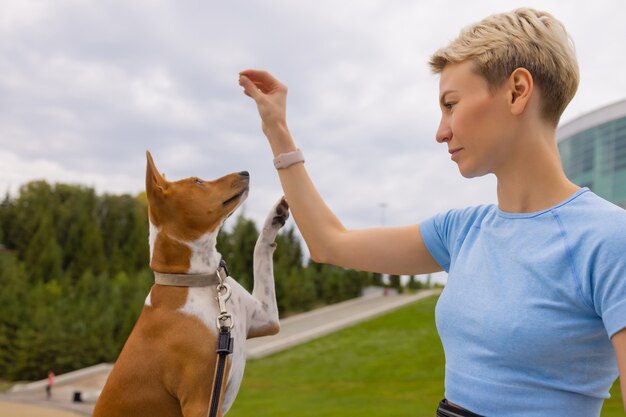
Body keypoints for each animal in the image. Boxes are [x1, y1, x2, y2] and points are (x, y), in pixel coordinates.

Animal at [92, 151, 288, 414]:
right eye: (198, 182)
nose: (245, 171)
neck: (199, 281)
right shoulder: (200, 401)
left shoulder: (268, 318)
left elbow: (260, 250)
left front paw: (275, 216)